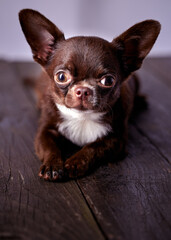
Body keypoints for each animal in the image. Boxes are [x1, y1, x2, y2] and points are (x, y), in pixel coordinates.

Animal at [18, 8, 160, 180]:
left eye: (108, 80)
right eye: (61, 77)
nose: (83, 90)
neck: (82, 117)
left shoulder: (116, 139)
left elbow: (94, 147)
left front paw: (76, 162)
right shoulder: (45, 131)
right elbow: (49, 147)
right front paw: (52, 165)